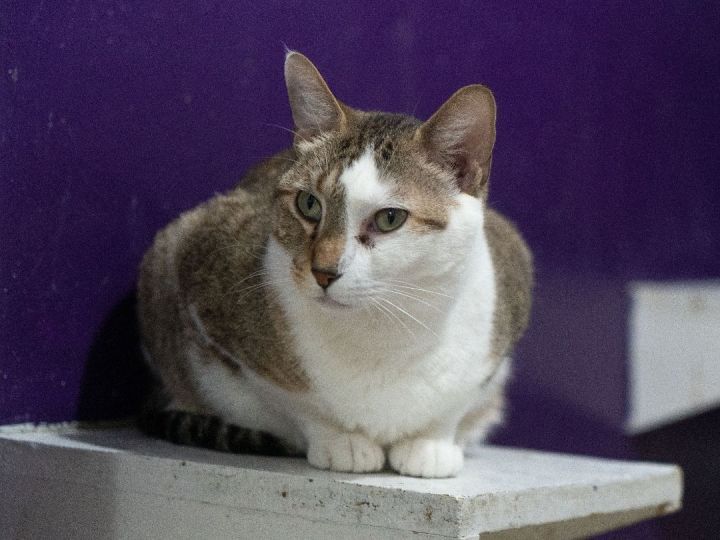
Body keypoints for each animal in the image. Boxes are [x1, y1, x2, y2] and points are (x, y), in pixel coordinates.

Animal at [139, 51, 536, 476]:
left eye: (390, 218)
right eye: (309, 204)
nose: (323, 272)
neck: (384, 327)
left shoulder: (506, 289)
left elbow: (455, 404)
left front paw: (430, 444)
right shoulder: (196, 261)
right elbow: (296, 400)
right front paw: (341, 442)